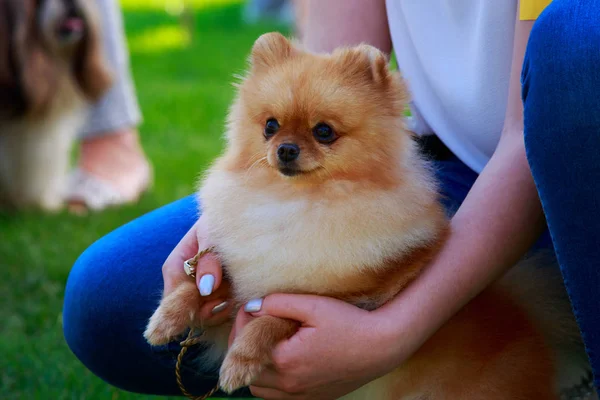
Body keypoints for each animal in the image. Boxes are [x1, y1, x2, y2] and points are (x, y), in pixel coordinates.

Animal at [145, 32, 592, 398]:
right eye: (270, 126)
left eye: (323, 131)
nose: (285, 149)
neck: (295, 204)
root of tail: (531, 322)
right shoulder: (238, 282)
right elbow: (207, 286)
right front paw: (166, 317)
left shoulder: (343, 303)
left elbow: (270, 320)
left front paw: (240, 362)